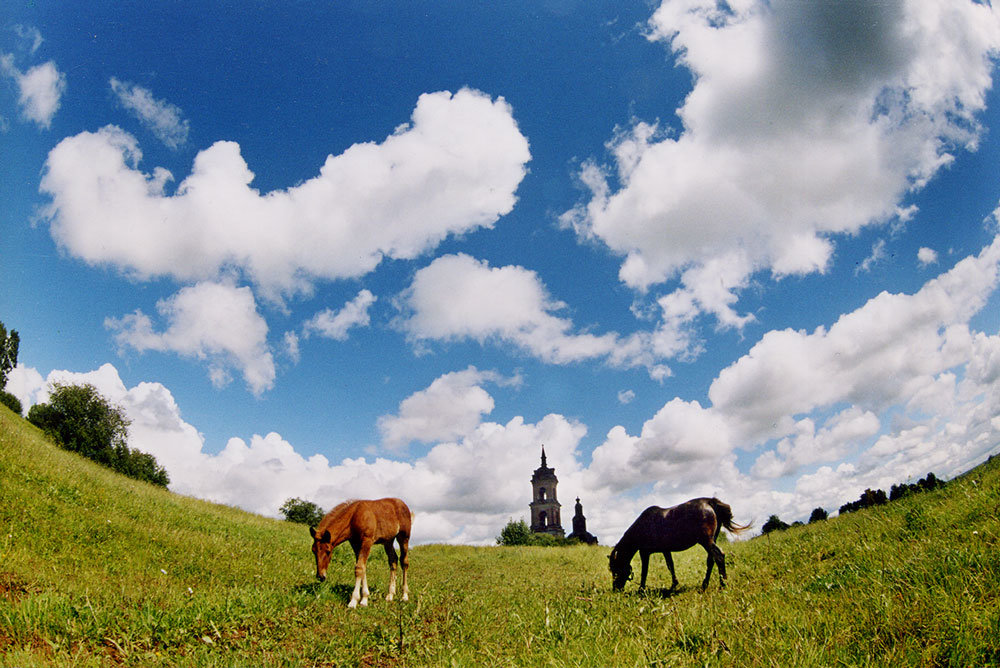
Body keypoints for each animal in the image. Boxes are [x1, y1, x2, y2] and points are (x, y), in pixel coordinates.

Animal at [608, 496, 752, 596]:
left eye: (615, 570)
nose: (616, 589)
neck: (643, 525)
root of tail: (709, 502)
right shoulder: (665, 550)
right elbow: (670, 566)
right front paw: (674, 585)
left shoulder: (644, 553)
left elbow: (645, 571)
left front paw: (641, 589)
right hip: (711, 540)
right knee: (711, 561)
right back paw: (704, 585)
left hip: (706, 541)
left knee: (719, 557)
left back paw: (723, 586)